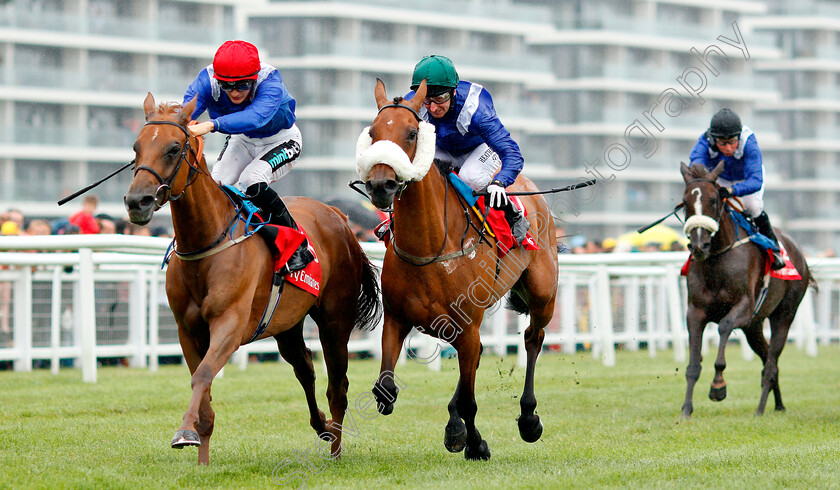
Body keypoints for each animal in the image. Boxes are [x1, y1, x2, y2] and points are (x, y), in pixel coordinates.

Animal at [123, 94, 382, 466]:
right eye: (136, 147)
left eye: (173, 148)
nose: (136, 201)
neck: (207, 242)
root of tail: (339, 216)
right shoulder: (188, 330)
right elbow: (202, 385)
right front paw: (201, 454)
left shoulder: (229, 324)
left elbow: (203, 374)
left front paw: (184, 432)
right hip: (287, 323)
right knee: (305, 367)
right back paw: (322, 426)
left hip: (335, 318)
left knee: (338, 386)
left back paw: (335, 449)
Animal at [360, 80, 556, 460]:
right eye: (373, 133)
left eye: (411, 133)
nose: (380, 185)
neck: (430, 246)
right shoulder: (396, 318)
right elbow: (385, 389)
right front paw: (459, 432)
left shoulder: (467, 327)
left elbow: (469, 400)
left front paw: (476, 443)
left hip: (543, 294)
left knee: (533, 339)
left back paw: (528, 419)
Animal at [684, 163, 812, 420]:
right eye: (685, 202)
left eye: (713, 200)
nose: (699, 246)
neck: (718, 259)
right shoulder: (695, 311)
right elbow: (693, 364)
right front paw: (686, 409)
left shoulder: (744, 307)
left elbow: (724, 326)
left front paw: (718, 387)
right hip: (754, 326)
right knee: (768, 358)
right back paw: (779, 405)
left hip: (784, 314)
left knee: (771, 362)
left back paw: (760, 409)